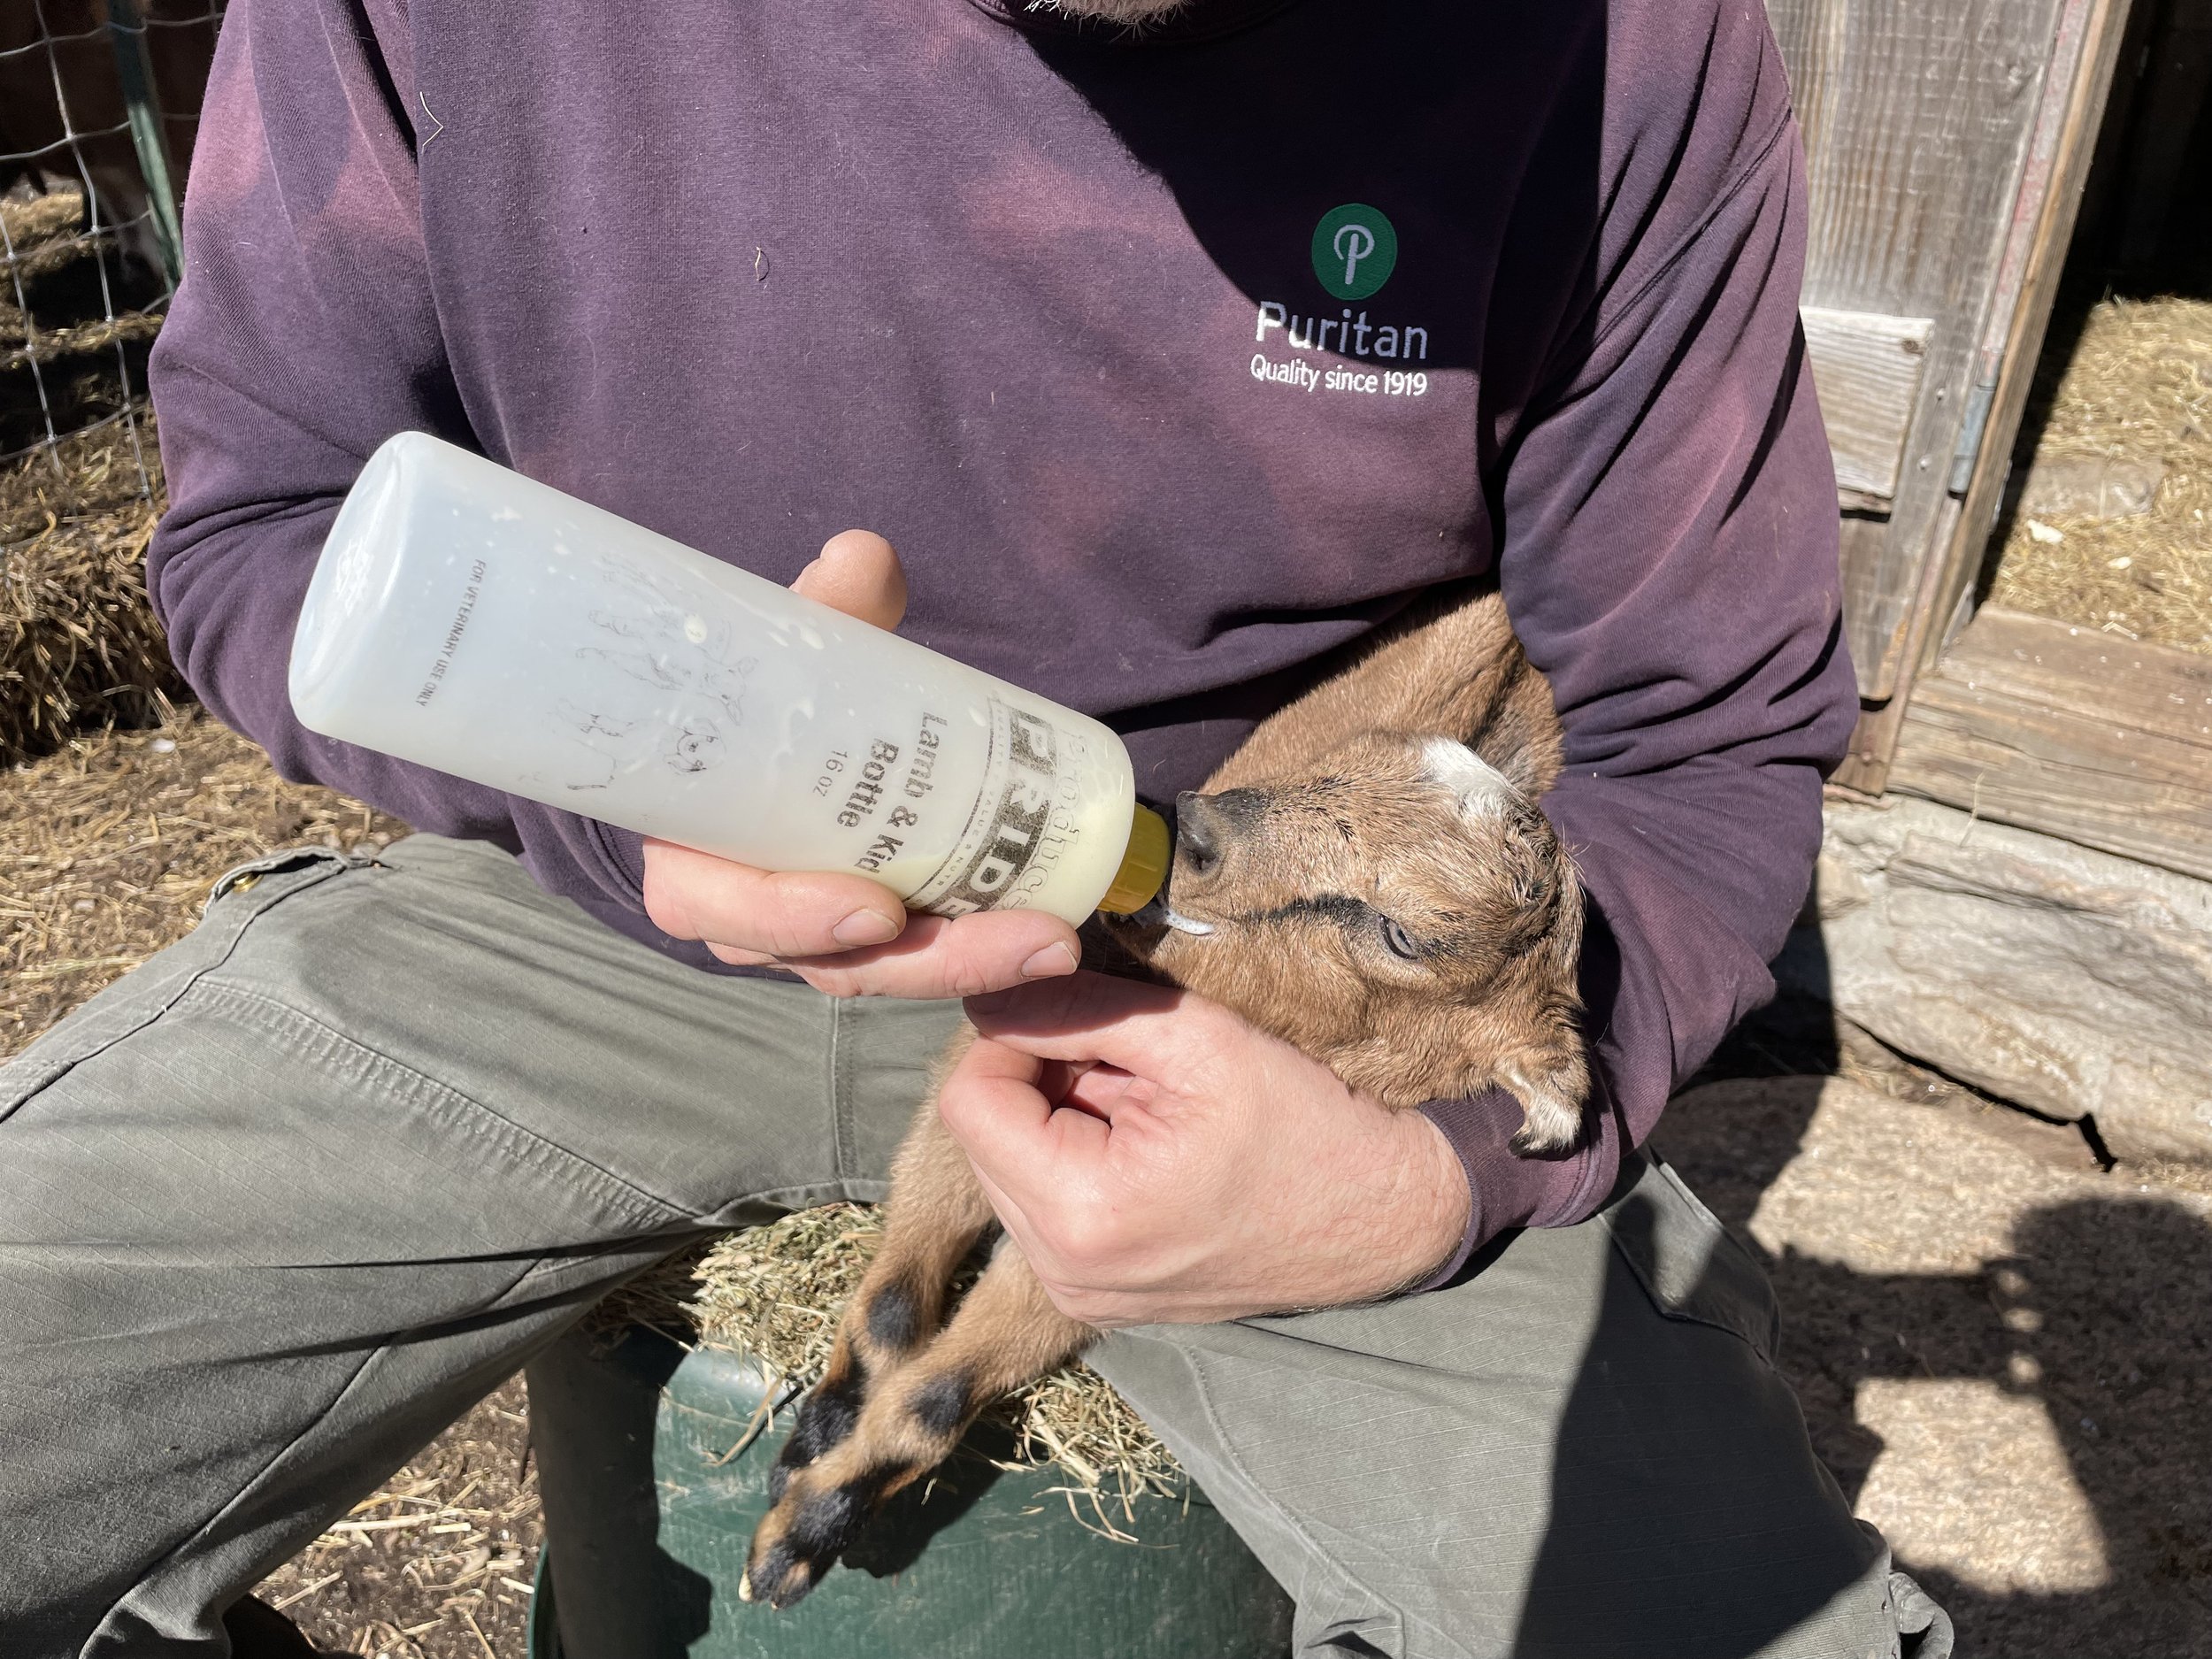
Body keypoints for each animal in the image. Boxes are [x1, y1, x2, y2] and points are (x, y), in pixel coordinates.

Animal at [742, 583, 1587, 1609]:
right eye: (1341, 763)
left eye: (1404, 935)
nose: (1197, 828)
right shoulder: (992, 1054)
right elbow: (900, 1294)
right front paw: (813, 1444)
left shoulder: (1111, 1240)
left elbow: (941, 1388)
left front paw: (801, 1531)